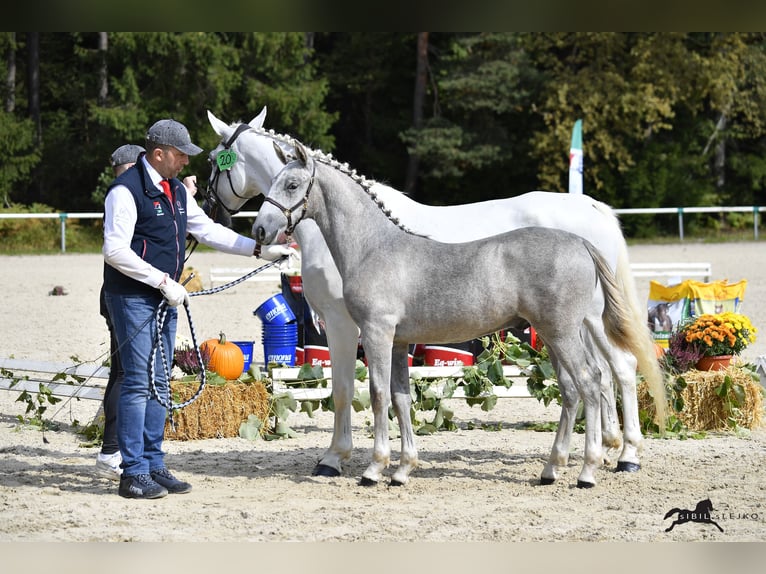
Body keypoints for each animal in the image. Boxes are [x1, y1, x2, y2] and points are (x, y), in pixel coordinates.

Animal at [207, 108, 668, 482]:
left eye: (293, 184)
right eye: (273, 180)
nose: (260, 229)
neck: (374, 245)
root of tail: (582, 235)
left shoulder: (364, 330)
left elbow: (364, 393)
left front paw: (361, 465)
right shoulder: (397, 340)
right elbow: (399, 396)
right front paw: (402, 469)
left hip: (571, 329)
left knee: (601, 378)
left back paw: (598, 465)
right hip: (560, 334)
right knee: (583, 386)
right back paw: (561, 466)